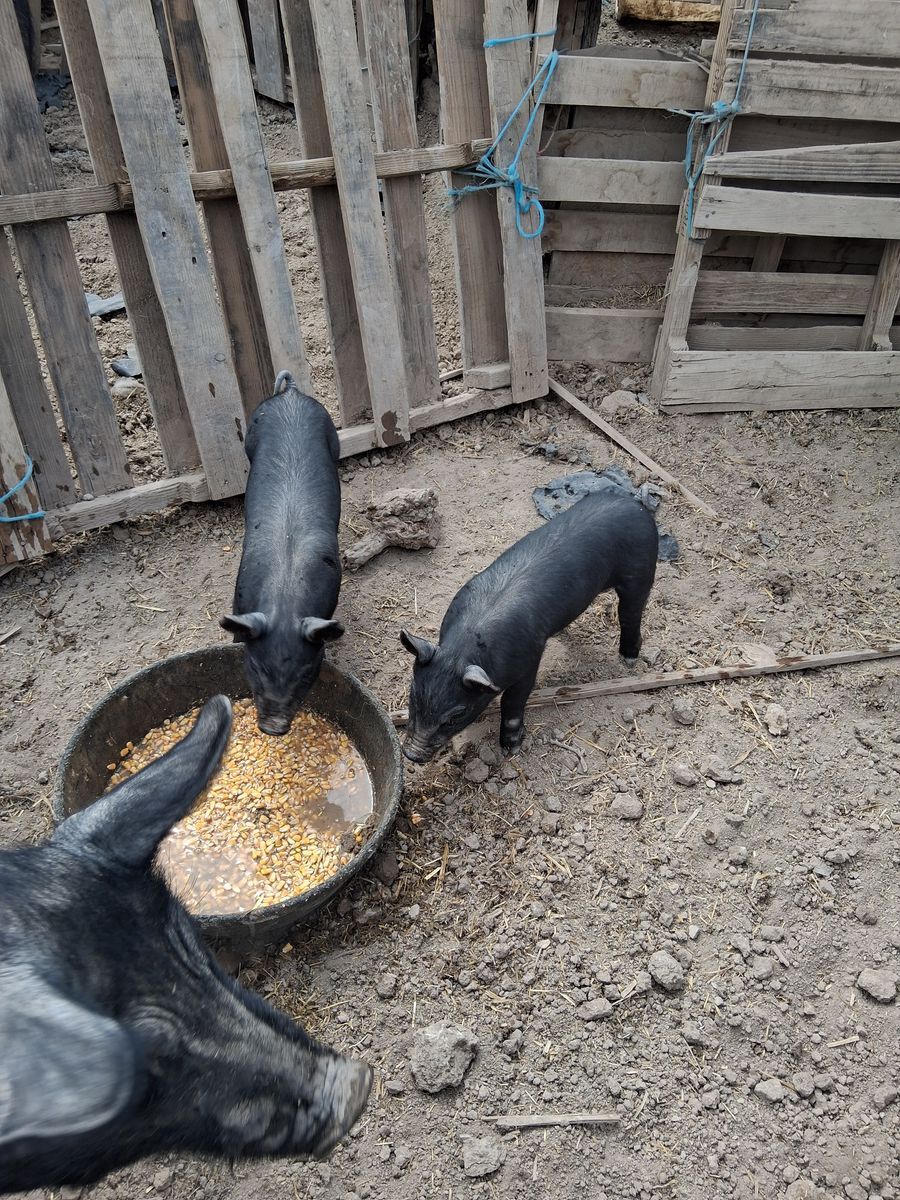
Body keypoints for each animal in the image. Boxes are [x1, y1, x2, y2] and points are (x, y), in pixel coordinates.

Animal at [221, 371, 344, 735]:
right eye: (257, 667)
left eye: (304, 674)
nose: (273, 727)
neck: (285, 599)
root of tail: (290, 394)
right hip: (251, 437)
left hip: (333, 438)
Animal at [400, 492, 658, 762]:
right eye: (413, 697)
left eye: (455, 716)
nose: (411, 754)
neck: (465, 646)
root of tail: (632, 503)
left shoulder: (528, 661)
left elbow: (513, 701)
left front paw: (511, 748)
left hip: (640, 572)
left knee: (631, 613)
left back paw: (628, 659)